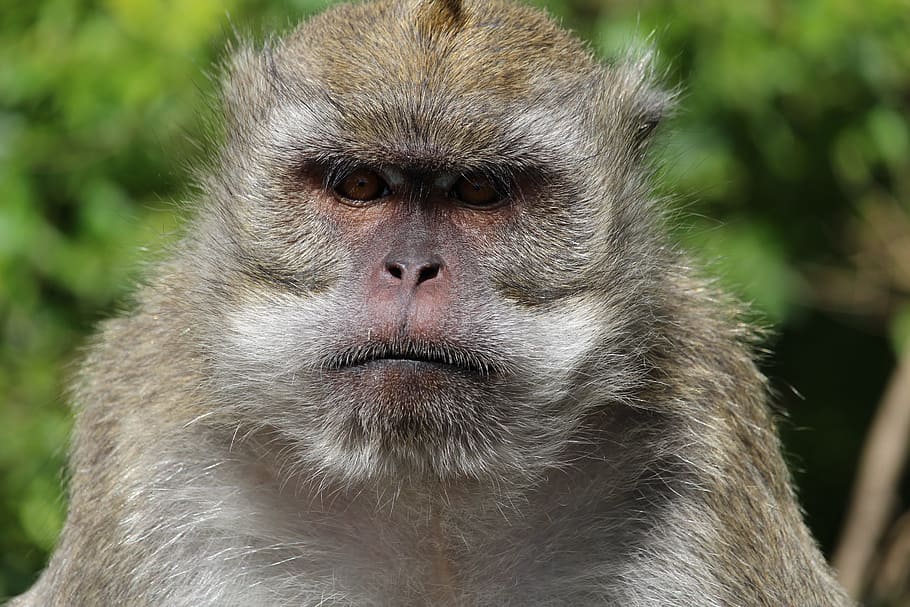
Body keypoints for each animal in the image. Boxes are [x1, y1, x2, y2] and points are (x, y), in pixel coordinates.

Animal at [8, 0, 853, 605]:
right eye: (359, 185)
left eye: (479, 190)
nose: (411, 267)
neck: (428, 497)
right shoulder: (149, 439)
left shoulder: (702, 435)